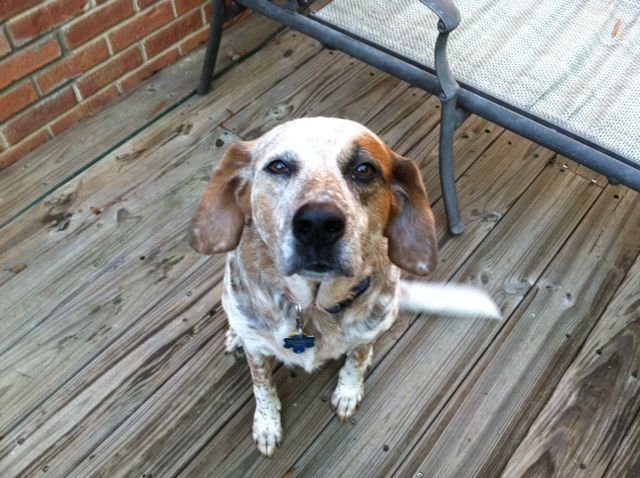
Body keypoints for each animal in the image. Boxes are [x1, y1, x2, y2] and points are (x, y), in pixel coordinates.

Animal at [190, 116, 500, 456]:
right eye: (278, 166)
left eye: (364, 169)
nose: (318, 224)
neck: (312, 306)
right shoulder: (257, 353)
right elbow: (263, 387)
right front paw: (267, 424)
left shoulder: (366, 331)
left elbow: (356, 360)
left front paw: (349, 390)